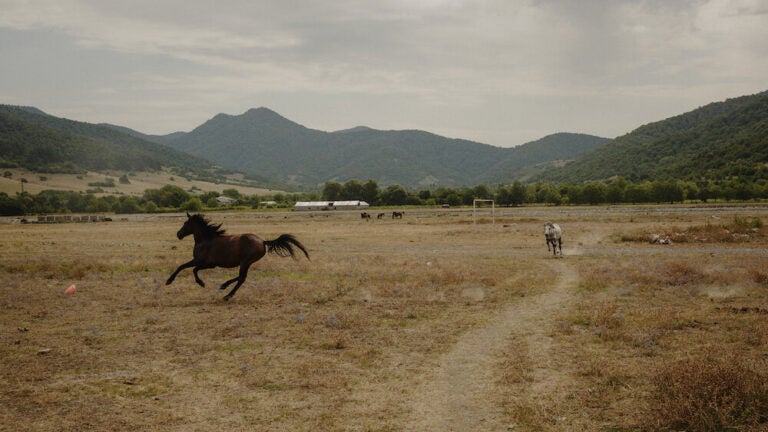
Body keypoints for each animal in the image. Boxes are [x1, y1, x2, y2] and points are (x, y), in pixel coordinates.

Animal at [166, 213, 309, 300]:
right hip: (246, 263)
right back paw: (224, 287)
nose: (178, 234)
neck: (205, 240)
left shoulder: (206, 263)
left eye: (185, 223)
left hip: (245, 262)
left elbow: (189, 268)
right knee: (241, 277)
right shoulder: (201, 262)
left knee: (241, 278)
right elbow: (185, 267)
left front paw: (199, 283)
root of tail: (263, 241)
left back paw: (227, 294)